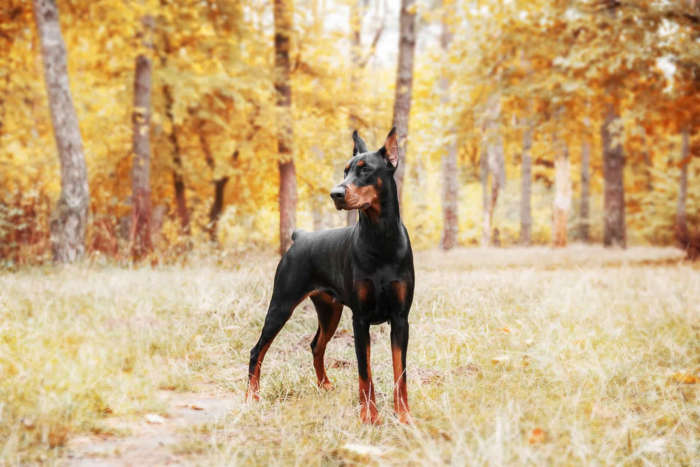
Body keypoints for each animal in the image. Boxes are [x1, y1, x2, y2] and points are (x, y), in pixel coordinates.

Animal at [246, 127, 412, 424]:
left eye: (365, 169)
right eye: (345, 171)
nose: (335, 194)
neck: (381, 239)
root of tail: (300, 237)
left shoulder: (400, 318)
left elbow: (399, 373)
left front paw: (403, 416)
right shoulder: (360, 319)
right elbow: (364, 372)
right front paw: (369, 416)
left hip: (329, 310)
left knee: (316, 345)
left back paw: (324, 385)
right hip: (282, 305)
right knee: (257, 350)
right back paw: (251, 396)